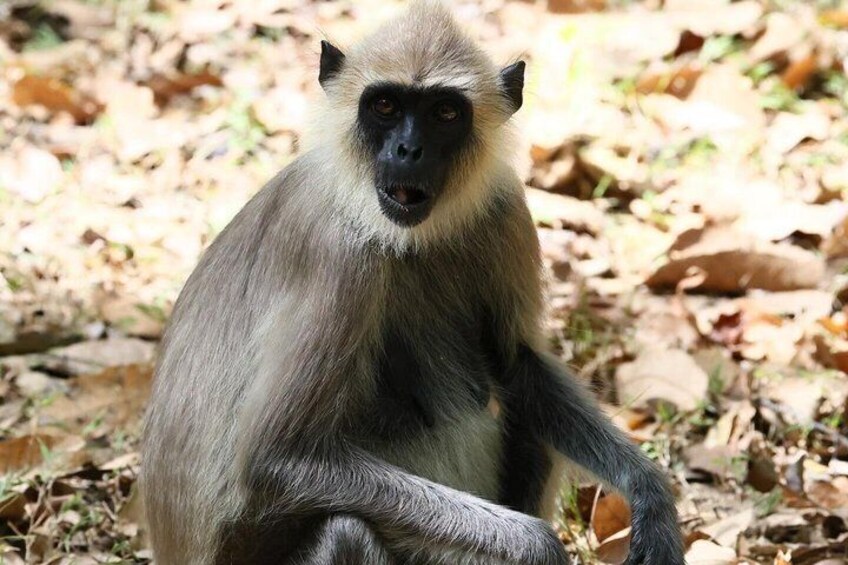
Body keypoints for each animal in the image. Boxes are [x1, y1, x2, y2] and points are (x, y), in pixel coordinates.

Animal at [140, 2, 685, 564]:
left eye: (444, 113)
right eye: (384, 105)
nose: (408, 149)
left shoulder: (504, 206)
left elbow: (516, 363)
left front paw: (648, 492)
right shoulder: (341, 256)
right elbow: (276, 458)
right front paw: (539, 546)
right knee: (346, 530)